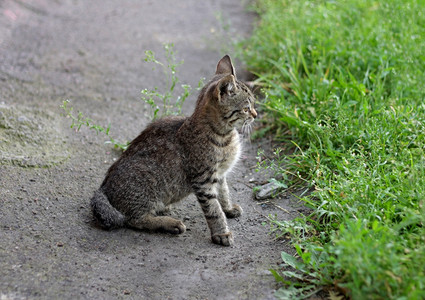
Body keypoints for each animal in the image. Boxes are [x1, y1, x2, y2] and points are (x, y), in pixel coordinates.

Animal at [90, 54, 255, 246]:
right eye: (246, 108)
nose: (255, 115)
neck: (225, 136)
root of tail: (103, 190)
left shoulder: (220, 175)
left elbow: (224, 193)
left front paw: (228, 208)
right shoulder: (203, 180)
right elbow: (214, 209)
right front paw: (222, 233)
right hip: (146, 187)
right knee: (133, 219)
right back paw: (171, 224)